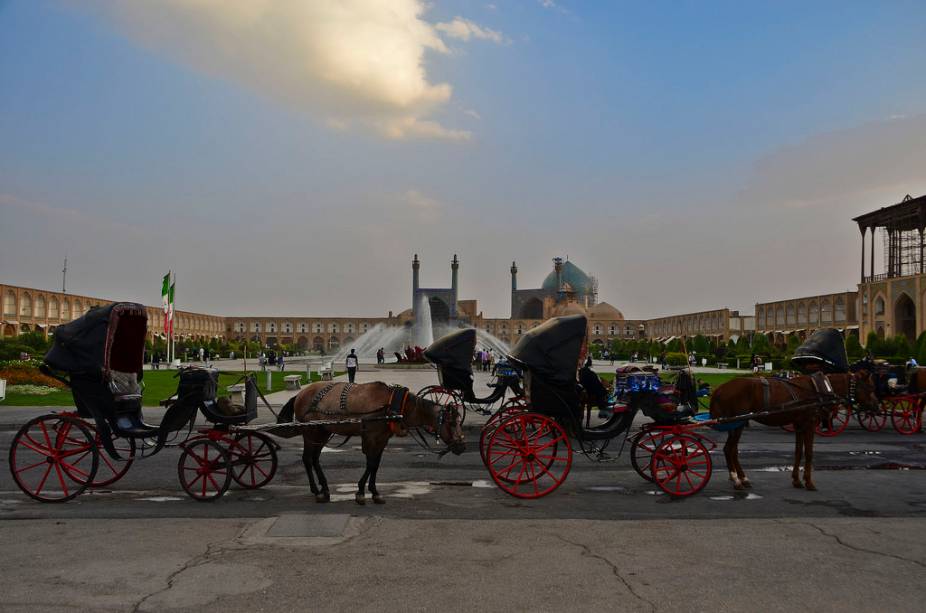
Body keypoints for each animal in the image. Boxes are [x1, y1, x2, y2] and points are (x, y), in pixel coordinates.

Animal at [276, 380, 464, 504]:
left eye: (458, 421)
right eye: (451, 423)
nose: (462, 446)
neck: (394, 405)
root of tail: (301, 393)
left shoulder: (382, 438)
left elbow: (375, 464)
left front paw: (374, 492)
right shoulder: (371, 436)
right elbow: (371, 463)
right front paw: (361, 492)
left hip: (322, 431)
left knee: (314, 458)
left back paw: (324, 488)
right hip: (310, 431)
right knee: (308, 458)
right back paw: (316, 490)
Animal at [712, 370, 876, 490]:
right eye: (870, 387)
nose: (877, 405)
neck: (819, 391)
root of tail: (720, 388)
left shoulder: (799, 425)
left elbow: (798, 452)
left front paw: (797, 480)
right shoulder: (810, 423)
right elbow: (809, 453)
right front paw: (809, 482)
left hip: (735, 424)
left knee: (733, 450)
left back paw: (742, 478)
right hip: (737, 422)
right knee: (729, 449)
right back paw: (736, 479)